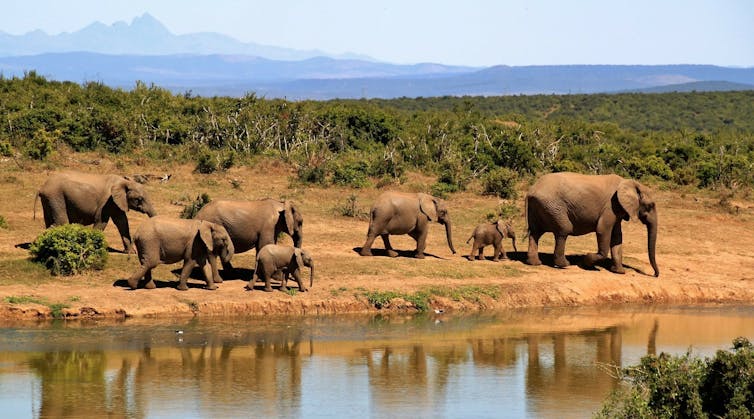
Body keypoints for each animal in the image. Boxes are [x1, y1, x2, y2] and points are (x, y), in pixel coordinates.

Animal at [524, 172, 656, 278]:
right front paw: (585, 262)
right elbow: (603, 230)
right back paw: (564, 264)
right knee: (564, 229)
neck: (630, 183)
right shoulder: (610, 206)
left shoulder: (617, 209)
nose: (654, 274)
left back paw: (535, 263)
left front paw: (619, 272)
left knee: (535, 233)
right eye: (650, 206)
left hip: (540, 206)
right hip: (552, 206)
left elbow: (617, 237)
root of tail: (531, 190)